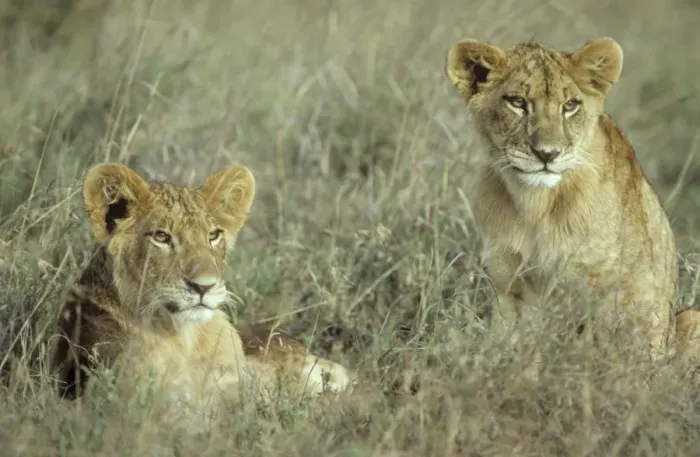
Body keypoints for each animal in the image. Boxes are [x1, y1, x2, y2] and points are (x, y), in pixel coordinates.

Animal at [445, 36, 700, 363]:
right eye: (518, 102)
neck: (536, 205)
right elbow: (506, 347)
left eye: (570, 106)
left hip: (687, 318)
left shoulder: (594, 288)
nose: (547, 154)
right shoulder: (508, 284)